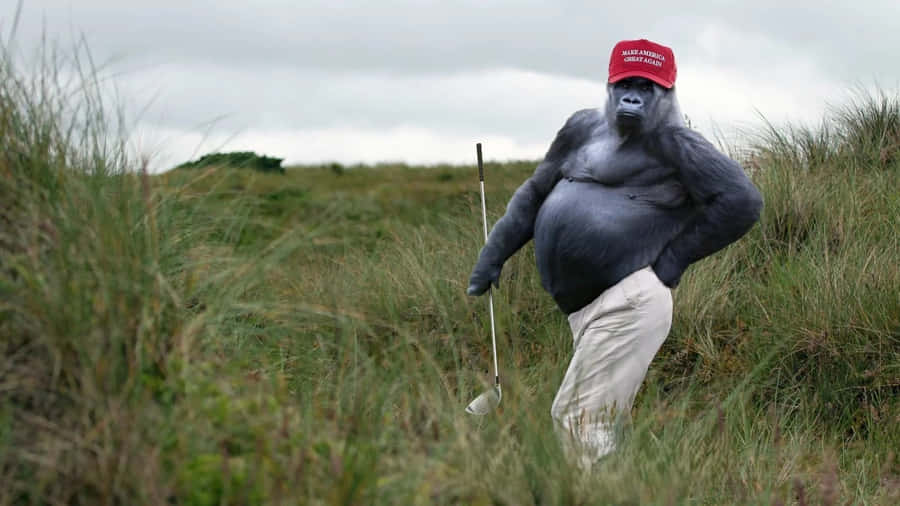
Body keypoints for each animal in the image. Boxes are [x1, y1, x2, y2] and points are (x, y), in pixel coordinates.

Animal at [465, 39, 762, 466]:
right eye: (626, 83)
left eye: (647, 87)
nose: (632, 99)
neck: (621, 135)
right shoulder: (573, 128)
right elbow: (538, 187)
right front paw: (487, 266)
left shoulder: (679, 141)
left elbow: (741, 196)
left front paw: (668, 266)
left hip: (622, 325)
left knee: (583, 414)